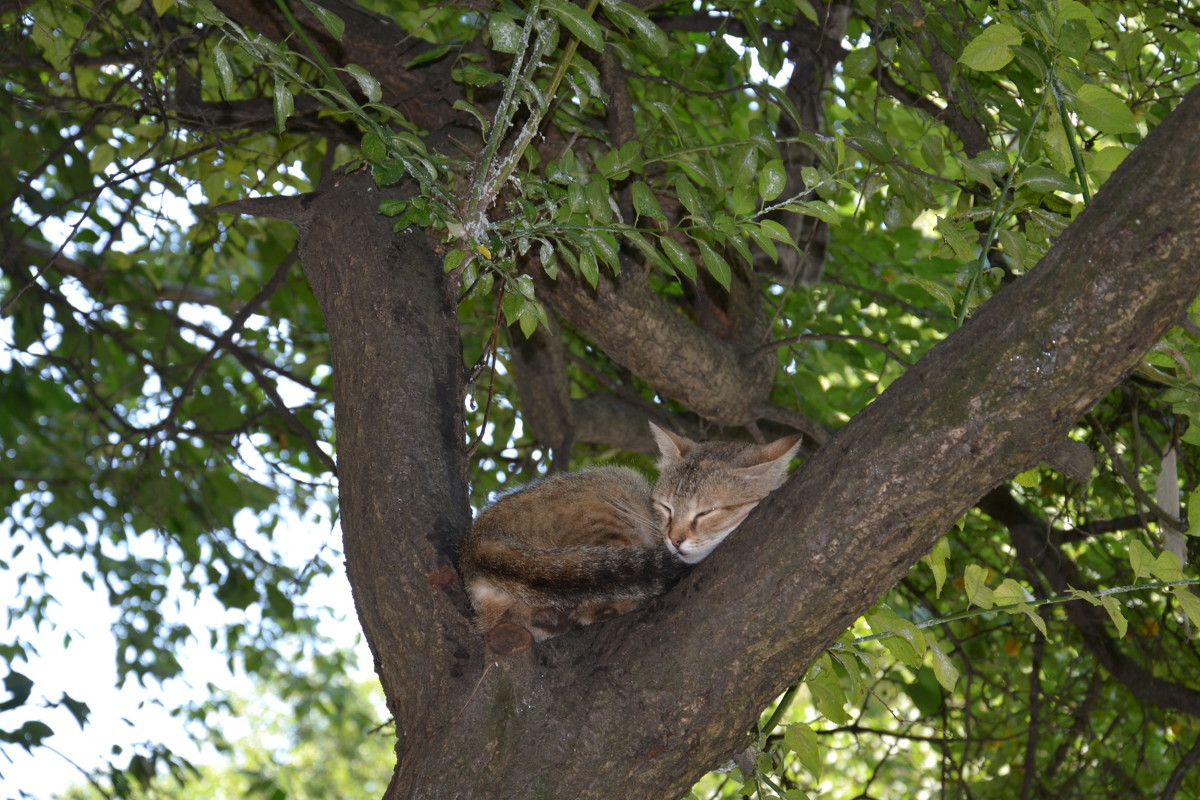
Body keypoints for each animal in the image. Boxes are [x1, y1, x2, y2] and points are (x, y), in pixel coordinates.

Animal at [458, 422, 806, 642]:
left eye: (706, 512)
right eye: (665, 507)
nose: (674, 539)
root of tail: (475, 544)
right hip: (614, 495)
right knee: (590, 606)